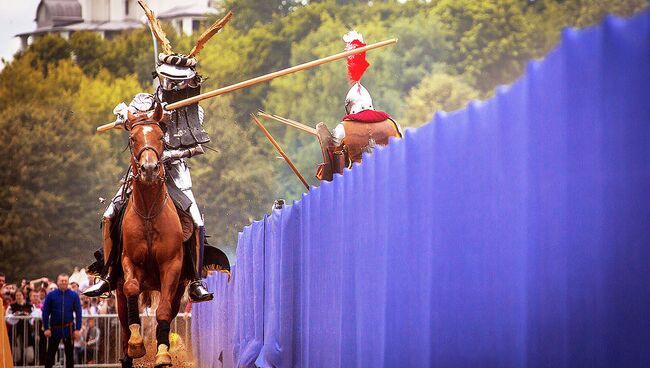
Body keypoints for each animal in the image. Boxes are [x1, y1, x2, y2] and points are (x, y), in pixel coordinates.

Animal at [116, 105, 186, 366]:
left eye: (160, 137)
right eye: (133, 138)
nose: (148, 169)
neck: (148, 213)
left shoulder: (172, 266)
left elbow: (163, 311)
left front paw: (163, 353)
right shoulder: (128, 262)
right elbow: (132, 288)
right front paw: (137, 343)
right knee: (124, 321)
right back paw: (128, 350)